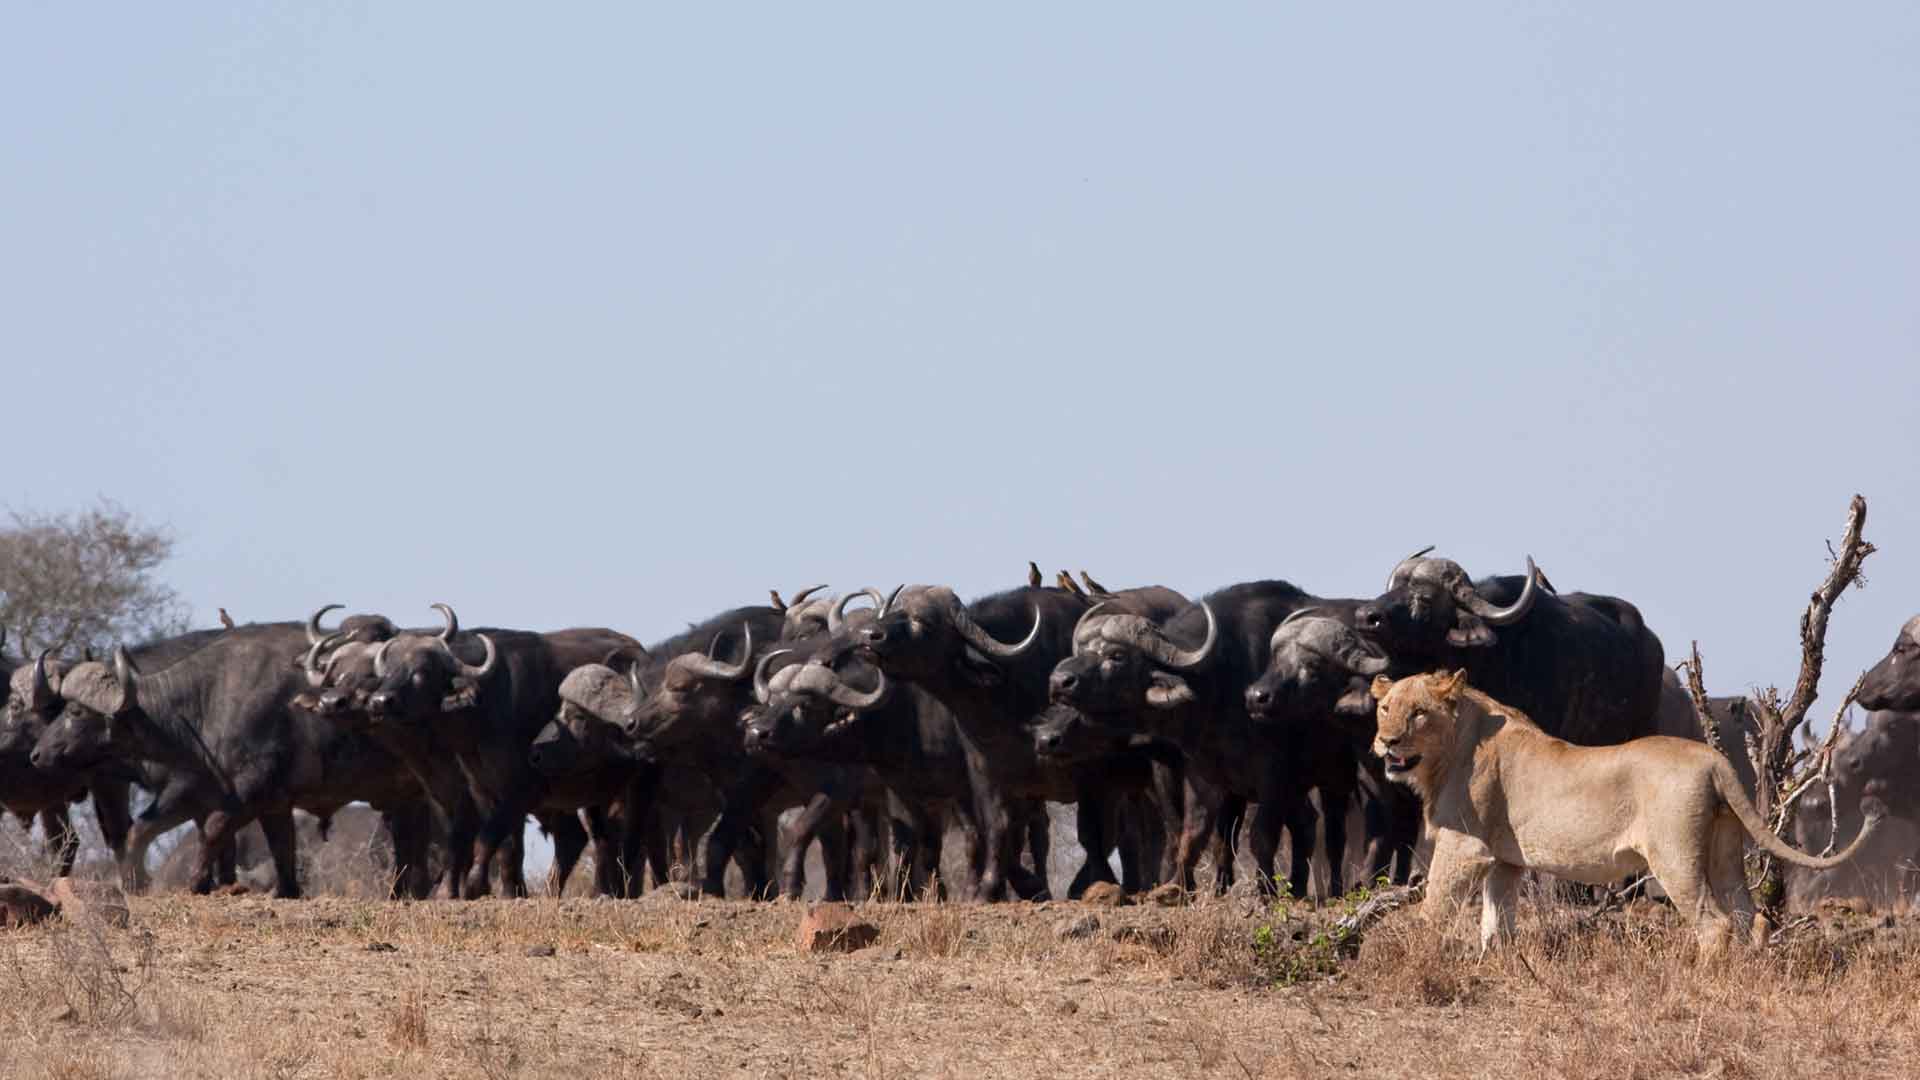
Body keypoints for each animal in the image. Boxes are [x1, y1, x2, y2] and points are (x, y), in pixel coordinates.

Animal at [1369, 669, 1887, 955]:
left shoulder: (1465, 845)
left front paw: (1417, 957)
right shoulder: (1505, 860)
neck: (1447, 753)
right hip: (1723, 850)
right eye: (1386, 708)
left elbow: (1434, 908)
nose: (1386, 742)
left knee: (1713, 924)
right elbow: (1498, 923)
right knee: (1748, 916)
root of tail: (1713, 759)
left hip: (1674, 855)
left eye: (1418, 713)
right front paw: (1495, 964)